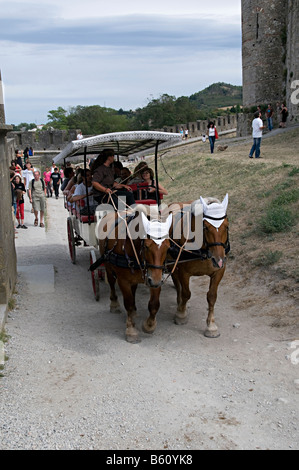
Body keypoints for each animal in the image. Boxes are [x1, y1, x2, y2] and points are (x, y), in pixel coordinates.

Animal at [99, 209, 173, 342]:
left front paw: (149, 325)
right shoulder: (123, 280)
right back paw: (114, 304)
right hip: (108, 266)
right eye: (147, 246)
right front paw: (131, 330)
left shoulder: (155, 278)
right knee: (112, 283)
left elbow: (154, 304)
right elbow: (128, 303)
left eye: (168, 247)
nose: (155, 281)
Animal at [169, 195, 230, 338]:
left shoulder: (218, 272)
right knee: (178, 285)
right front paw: (181, 314)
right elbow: (186, 293)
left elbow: (212, 297)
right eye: (206, 227)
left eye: (226, 226)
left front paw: (211, 326)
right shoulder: (183, 272)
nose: (219, 259)